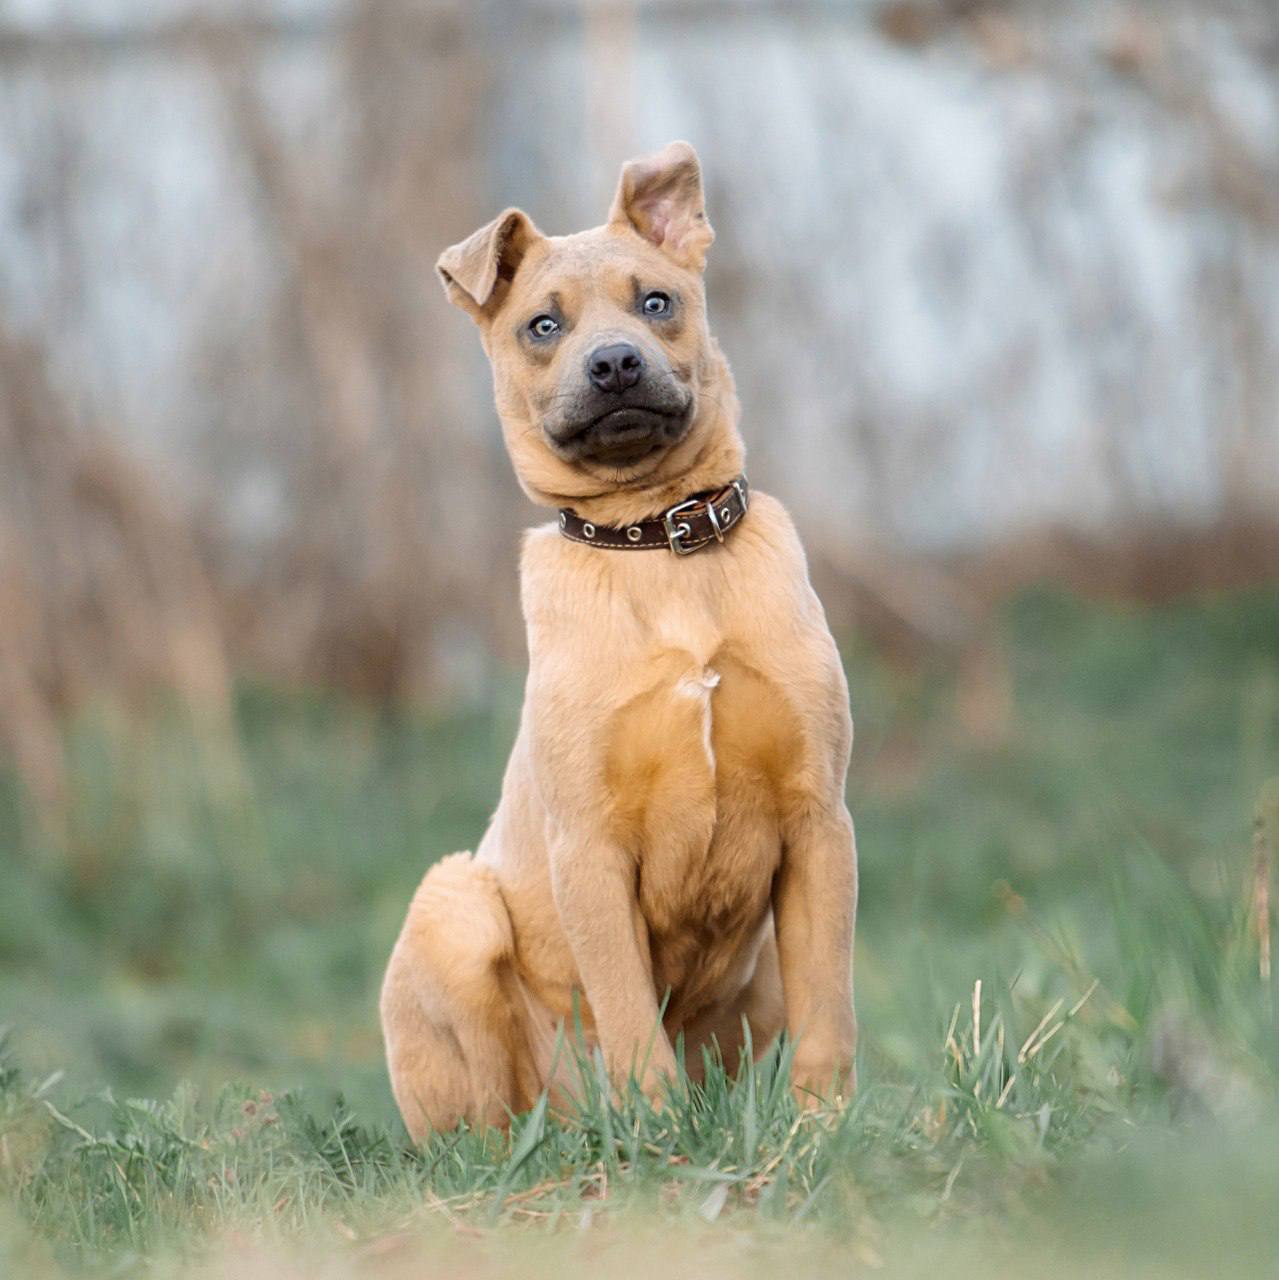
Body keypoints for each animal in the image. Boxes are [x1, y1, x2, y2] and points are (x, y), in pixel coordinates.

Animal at [378, 142, 860, 1141]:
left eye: (657, 303)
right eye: (542, 325)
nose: (613, 365)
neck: (659, 549)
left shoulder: (818, 823)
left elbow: (828, 1005)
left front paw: (824, 1128)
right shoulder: (590, 853)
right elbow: (631, 1016)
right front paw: (663, 1134)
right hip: (454, 907)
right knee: (492, 1118)